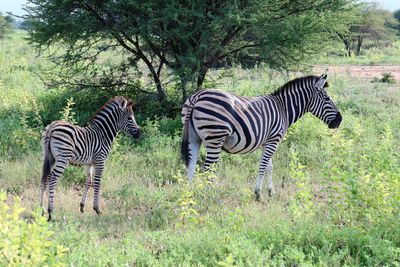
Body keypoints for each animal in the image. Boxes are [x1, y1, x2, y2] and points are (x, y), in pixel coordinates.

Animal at [181, 74, 340, 200]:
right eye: (327, 98)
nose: (340, 120)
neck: (283, 109)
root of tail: (197, 96)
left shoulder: (267, 142)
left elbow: (270, 166)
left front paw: (270, 191)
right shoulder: (274, 140)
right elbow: (263, 165)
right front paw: (258, 193)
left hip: (194, 138)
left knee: (191, 165)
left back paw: (189, 194)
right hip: (215, 138)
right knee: (207, 168)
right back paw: (208, 195)